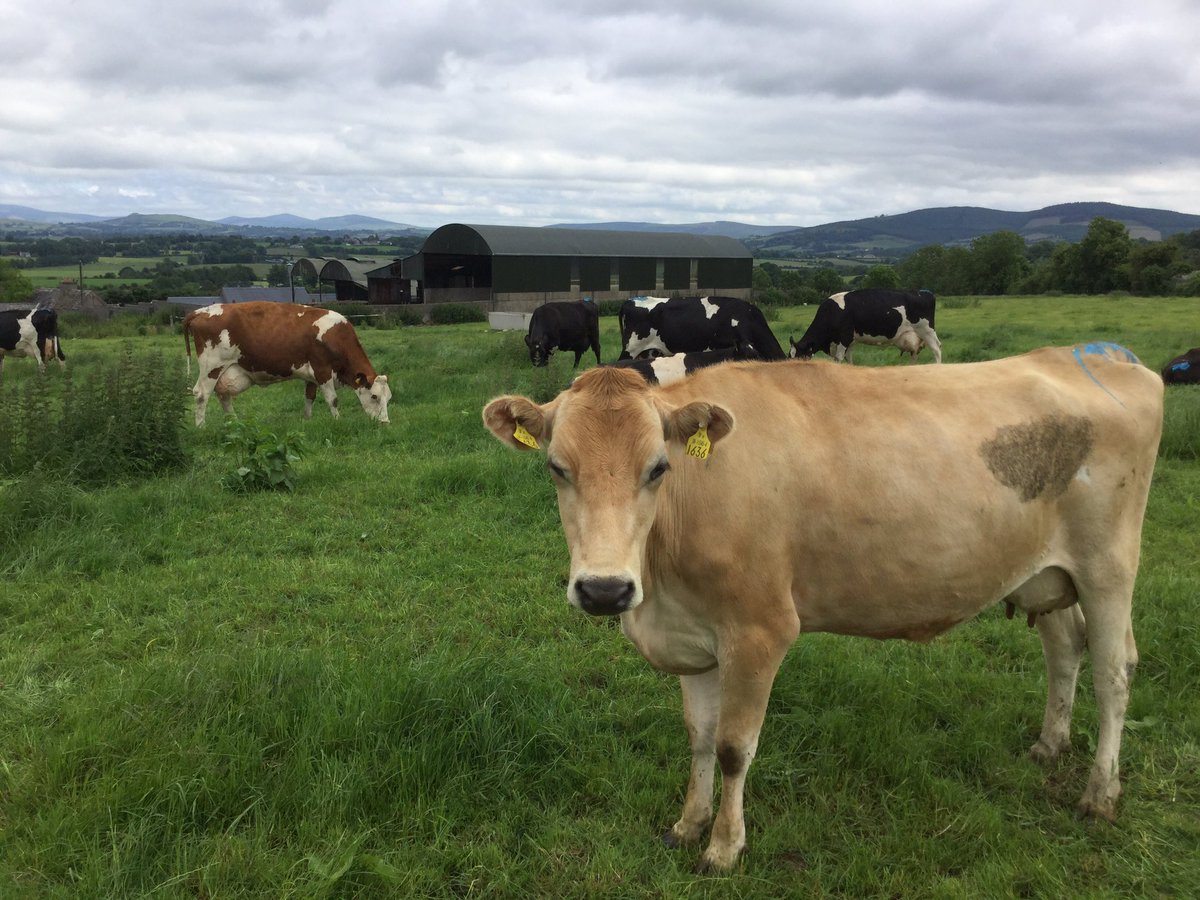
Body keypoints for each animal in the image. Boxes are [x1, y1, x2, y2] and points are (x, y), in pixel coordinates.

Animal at [183, 301, 392, 426]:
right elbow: (332, 399)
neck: (336, 336)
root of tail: (201, 311)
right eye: (374, 396)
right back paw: (201, 427)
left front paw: (307, 420)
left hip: (226, 370)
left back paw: (235, 424)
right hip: (212, 366)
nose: (385, 423)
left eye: (388, 398)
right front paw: (337, 421)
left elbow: (309, 397)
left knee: (223, 395)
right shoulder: (322, 370)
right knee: (201, 394)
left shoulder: (312, 376)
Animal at [790, 288, 942, 364]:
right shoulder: (850, 341)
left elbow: (838, 359)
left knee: (936, 350)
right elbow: (849, 359)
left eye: (799, 357)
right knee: (915, 354)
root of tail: (924, 293)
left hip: (926, 330)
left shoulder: (844, 339)